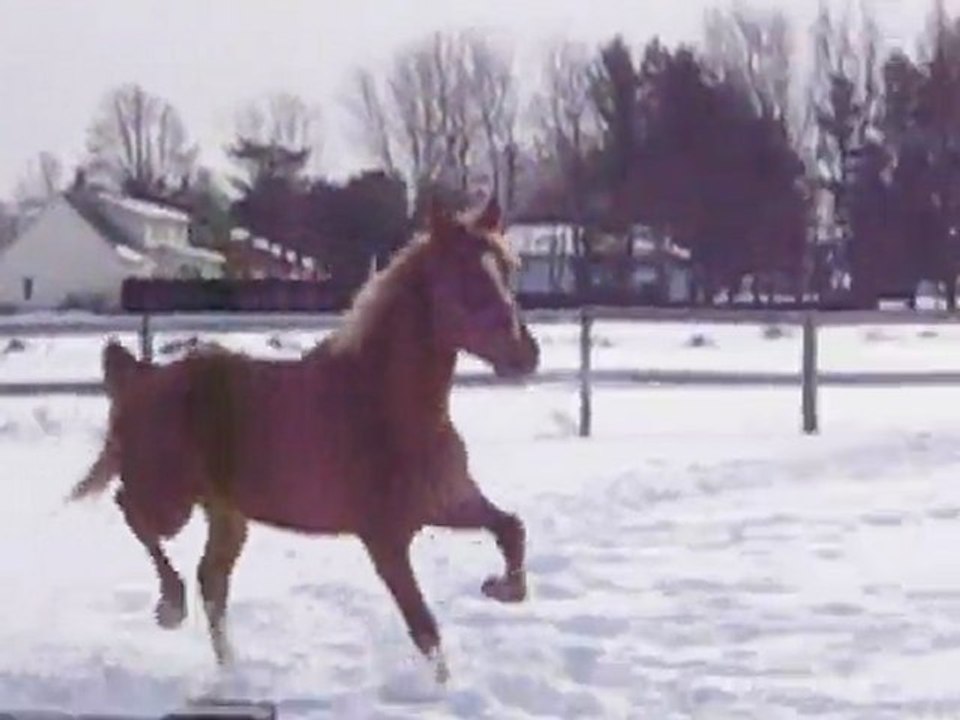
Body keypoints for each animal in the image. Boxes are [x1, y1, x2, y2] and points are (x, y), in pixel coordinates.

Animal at [66, 195, 540, 683]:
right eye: (464, 275)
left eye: (509, 268)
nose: (526, 356)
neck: (387, 404)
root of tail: (139, 379)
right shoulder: (385, 539)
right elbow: (425, 630)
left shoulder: (449, 503)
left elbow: (512, 528)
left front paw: (499, 588)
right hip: (170, 502)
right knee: (131, 508)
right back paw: (170, 607)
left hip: (227, 515)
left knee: (211, 580)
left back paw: (230, 670)